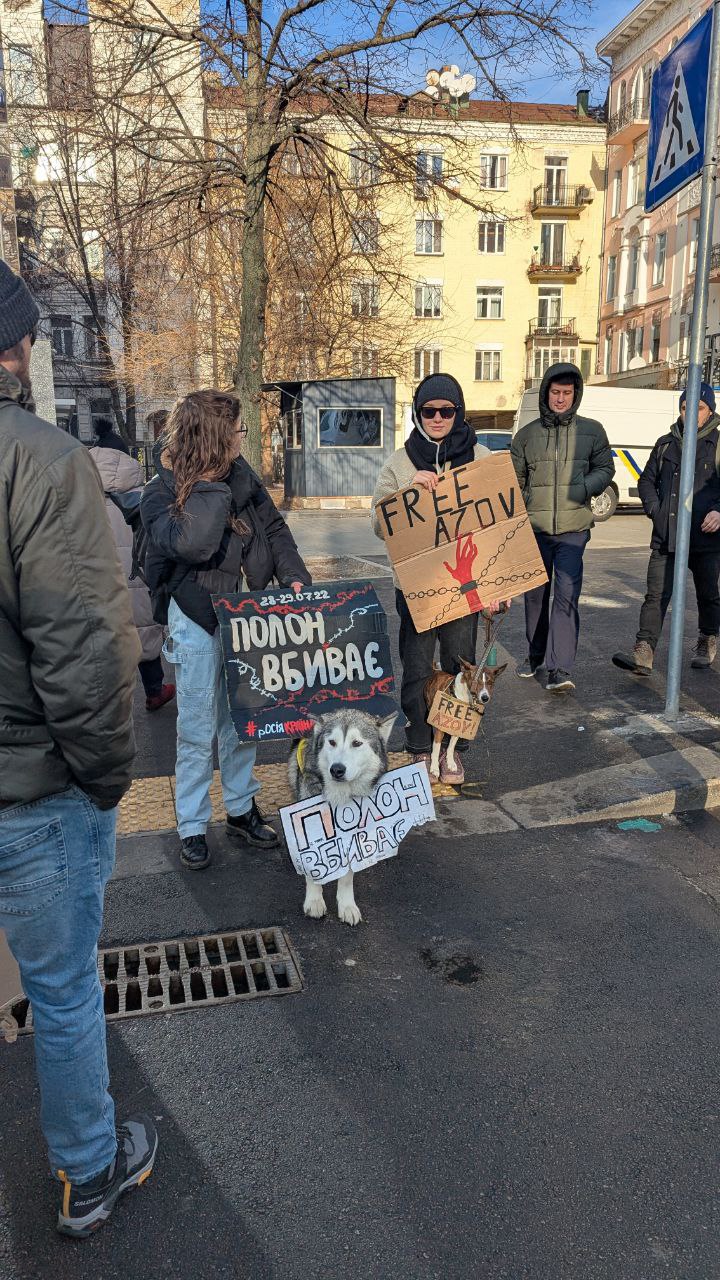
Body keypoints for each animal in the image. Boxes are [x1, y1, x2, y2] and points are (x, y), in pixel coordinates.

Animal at [286, 711, 397, 931]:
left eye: (357, 743)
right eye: (332, 742)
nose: (336, 769)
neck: (339, 797)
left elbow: (347, 877)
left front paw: (347, 906)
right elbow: (313, 864)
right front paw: (314, 901)